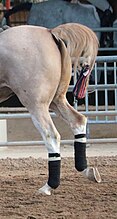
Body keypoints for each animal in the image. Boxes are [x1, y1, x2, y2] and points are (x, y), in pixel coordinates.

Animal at [0, 23, 100, 196]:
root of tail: (50, 32)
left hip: (36, 104)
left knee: (51, 135)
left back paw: (49, 186)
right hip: (57, 100)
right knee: (78, 120)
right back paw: (86, 170)